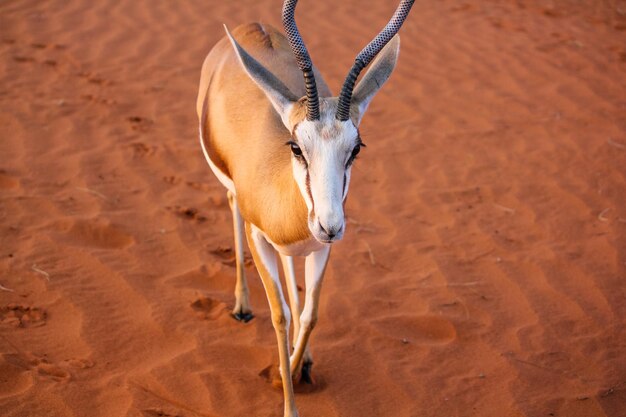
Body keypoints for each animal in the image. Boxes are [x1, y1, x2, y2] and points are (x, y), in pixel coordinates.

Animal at [195, 1, 414, 414]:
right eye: (297, 147)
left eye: (355, 148)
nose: (330, 225)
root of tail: (252, 25)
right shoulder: (259, 238)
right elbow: (279, 315)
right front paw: (285, 395)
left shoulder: (321, 248)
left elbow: (310, 312)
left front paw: (300, 366)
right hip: (232, 194)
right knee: (232, 205)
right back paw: (242, 306)